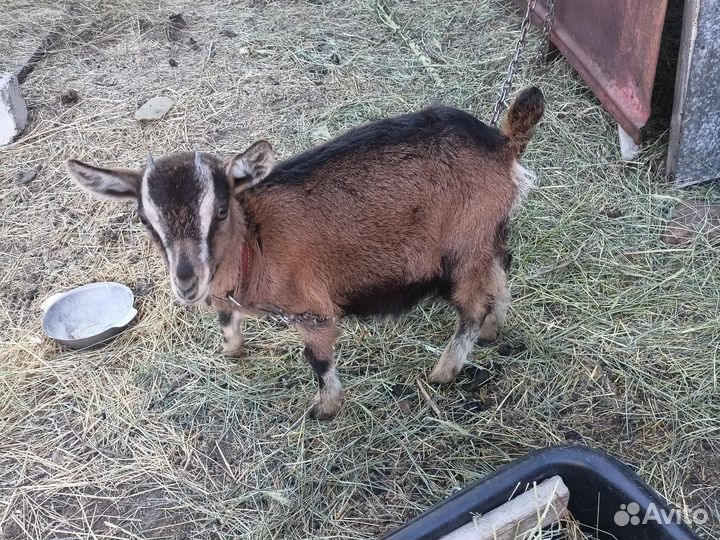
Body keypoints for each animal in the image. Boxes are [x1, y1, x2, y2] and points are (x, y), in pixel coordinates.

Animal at [65, 86, 544, 420]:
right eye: (146, 222)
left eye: (219, 211)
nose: (186, 283)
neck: (255, 241)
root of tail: (503, 145)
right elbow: (226, 319)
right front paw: (233, 351)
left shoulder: (313, 309)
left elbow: (317, 359)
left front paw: (325, 409)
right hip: (485, 238)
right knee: (502, 268)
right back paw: (493, 330)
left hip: (460, 252)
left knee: (472, 306)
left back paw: (444, 371)